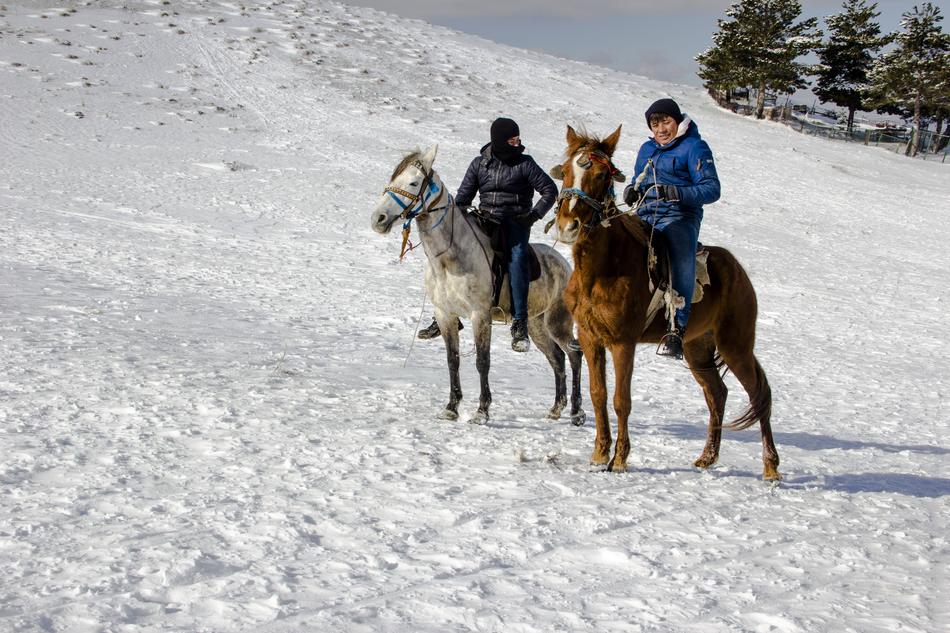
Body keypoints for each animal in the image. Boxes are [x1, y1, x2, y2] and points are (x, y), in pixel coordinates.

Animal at [371, 146, 585, 425]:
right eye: (394, 178)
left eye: (413, 182)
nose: (378, 218)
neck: (449, 259)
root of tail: (565, 265)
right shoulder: (445, 314)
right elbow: (453, 360)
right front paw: (451, 407)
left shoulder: (480, 315)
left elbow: (483, 361)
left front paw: (482, 411)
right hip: (537, 325)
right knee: (557, 358)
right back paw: (556, 408)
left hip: (558, 321)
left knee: (574, 354)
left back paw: (577, 413)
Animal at [549, 125, 780, 480]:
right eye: (565, 172)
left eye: (601, 175)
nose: (568, 226)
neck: (603, 268)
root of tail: (738, 271)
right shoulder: (590, 338)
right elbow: (598, 394)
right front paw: (599, 454)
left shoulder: (623, 342)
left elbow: (621, 399)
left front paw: (619, 459)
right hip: (698, 348)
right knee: (718, 394)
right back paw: (707, 457)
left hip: (736, 346)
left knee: (758, 395)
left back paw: (771, 468)